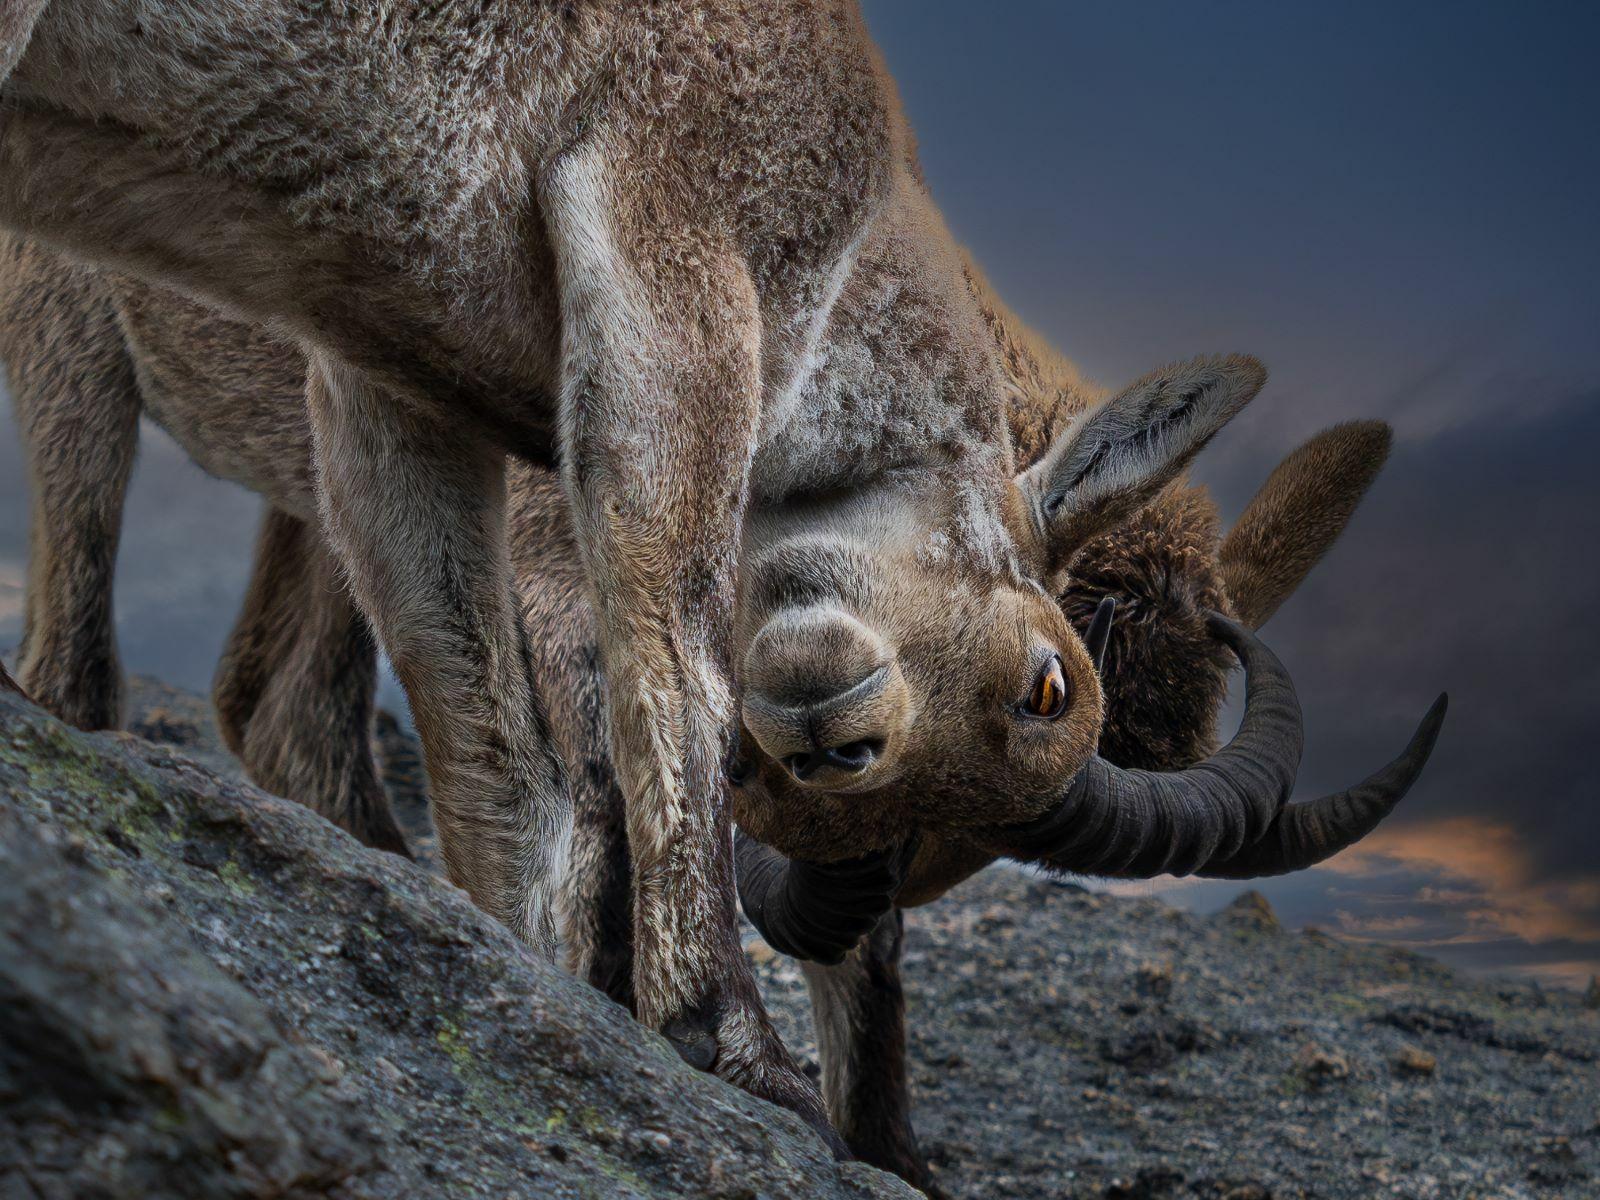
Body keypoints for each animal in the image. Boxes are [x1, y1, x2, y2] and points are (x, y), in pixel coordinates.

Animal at [0, 1, 1441, 1136]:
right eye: (1052, 683)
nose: (834, 734)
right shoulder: (668, 260)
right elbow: (658, 675)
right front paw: (729, 1044)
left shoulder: (383, 379)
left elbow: (493, 755)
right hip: (60, 311)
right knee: (78, 639)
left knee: (284, 703)